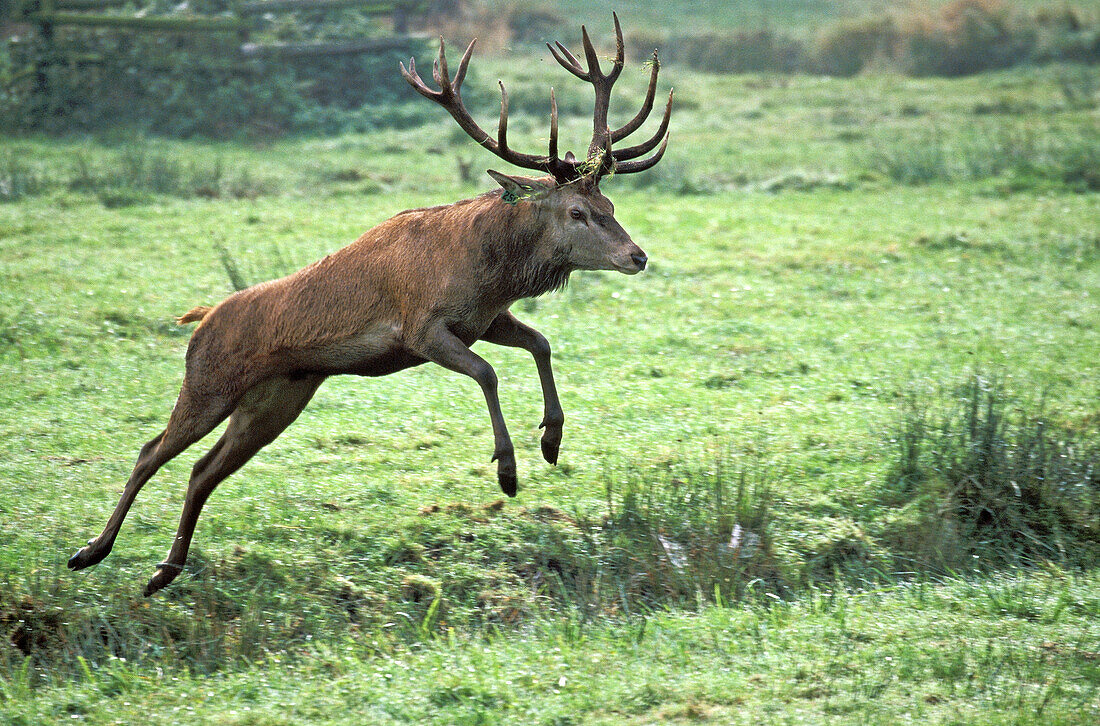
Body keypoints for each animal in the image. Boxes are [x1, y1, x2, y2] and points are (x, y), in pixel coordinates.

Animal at [70, 14, 668, 594]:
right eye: (576, 213)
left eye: (611, 204)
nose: (637, 256)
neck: (488, 271)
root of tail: (200, 320)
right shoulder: (421, 328)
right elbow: (488, 372)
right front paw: (508, 469)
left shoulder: (484, 319)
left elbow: (540, 343)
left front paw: (552, 439)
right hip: (210, 382)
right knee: (150, 451)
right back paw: (90, 552)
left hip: (276, 399)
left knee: (201, 470)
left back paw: (163, 571)